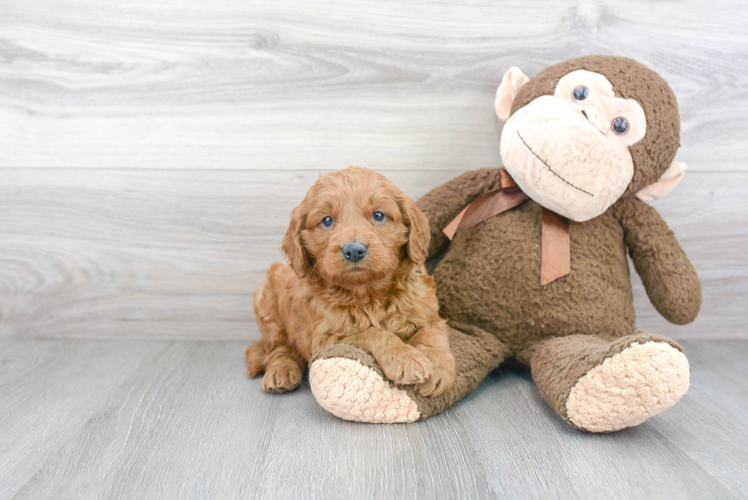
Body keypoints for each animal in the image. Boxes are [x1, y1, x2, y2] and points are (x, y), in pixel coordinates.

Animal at [247, 166, 456, 396]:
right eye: (327, 220)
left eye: (378, 215)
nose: (354, 250)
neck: (368, 293)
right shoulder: (325, 338)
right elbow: (370, 332)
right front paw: (404, 357)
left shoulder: (427, 310)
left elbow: (432, 333)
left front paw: (438, 368)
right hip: (266, 301)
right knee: (278, 347)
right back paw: (281, 371)